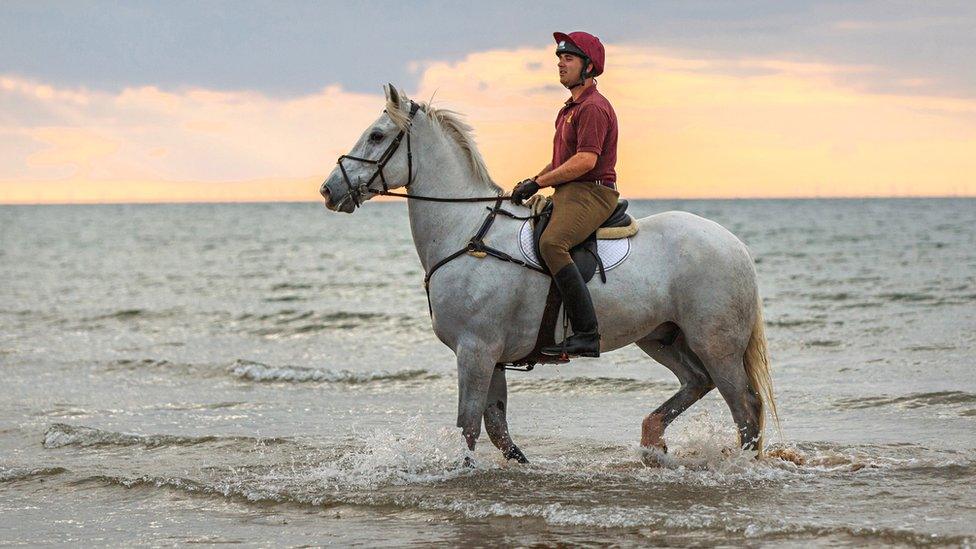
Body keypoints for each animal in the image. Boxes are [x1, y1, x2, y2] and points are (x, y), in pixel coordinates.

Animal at [320, 85, 776, 462]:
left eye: (377, 136)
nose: (329, 190)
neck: (467, 232)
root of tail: (734, 245)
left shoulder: (475, 350)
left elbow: (468, 425)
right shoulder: (492, 356)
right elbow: (496, 426)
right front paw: (521, 467)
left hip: (715, 343)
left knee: (744, 406)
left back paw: (737, 465)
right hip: (660, 336)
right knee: (698, 382)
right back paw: (654, 442)